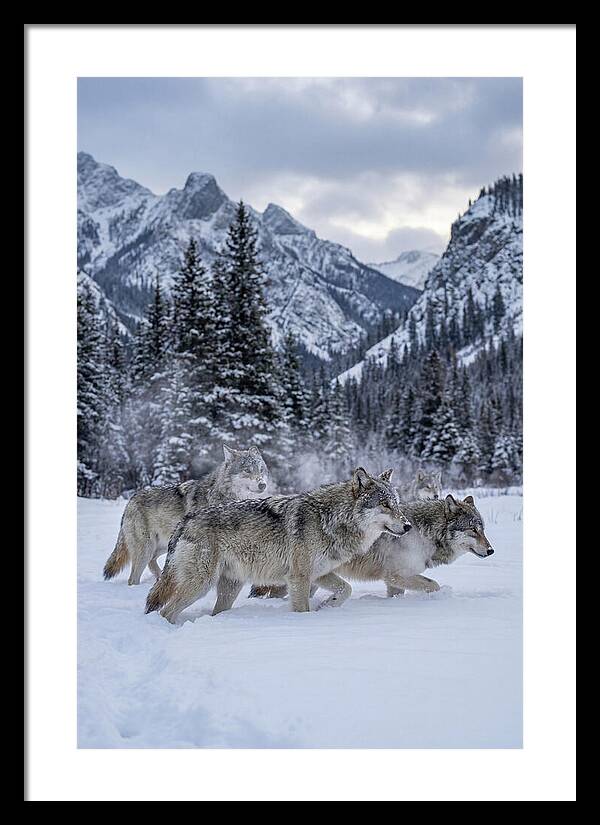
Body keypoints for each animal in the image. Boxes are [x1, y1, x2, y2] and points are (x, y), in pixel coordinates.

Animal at [103, 444, 269, 586]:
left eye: (261, 469)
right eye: (247, 470)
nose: (263, 485)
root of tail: (131, 499)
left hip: (164, 545)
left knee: (152, 562)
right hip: (146, 549)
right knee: (133, 578)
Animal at [145, 467, 412, 623]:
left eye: (397, 503)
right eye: (385, 505)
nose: (408, 525)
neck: (331, 518)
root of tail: (185, 520)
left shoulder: (319, 574)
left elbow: (346, 589)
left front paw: (327, 606)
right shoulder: (299, 577)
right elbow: (302, 609)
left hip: (229, 588)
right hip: (200, 585)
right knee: (165, 611)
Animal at [336, 494, 494, 597]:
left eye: (482, 530)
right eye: (473, 529)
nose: (491, 550)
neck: (425, 535)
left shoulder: (393, 582)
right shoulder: (396, 576)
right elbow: (434, 584)